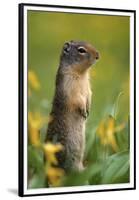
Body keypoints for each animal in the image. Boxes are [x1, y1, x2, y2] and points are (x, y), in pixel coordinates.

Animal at [45, 40, 99, 173]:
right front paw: (84, 111)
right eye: (81, 50)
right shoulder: (69, 86)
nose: (98, 55)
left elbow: (89, 94)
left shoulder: (87, 87)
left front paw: (88, 109)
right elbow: (77, 99)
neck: (81, 73)